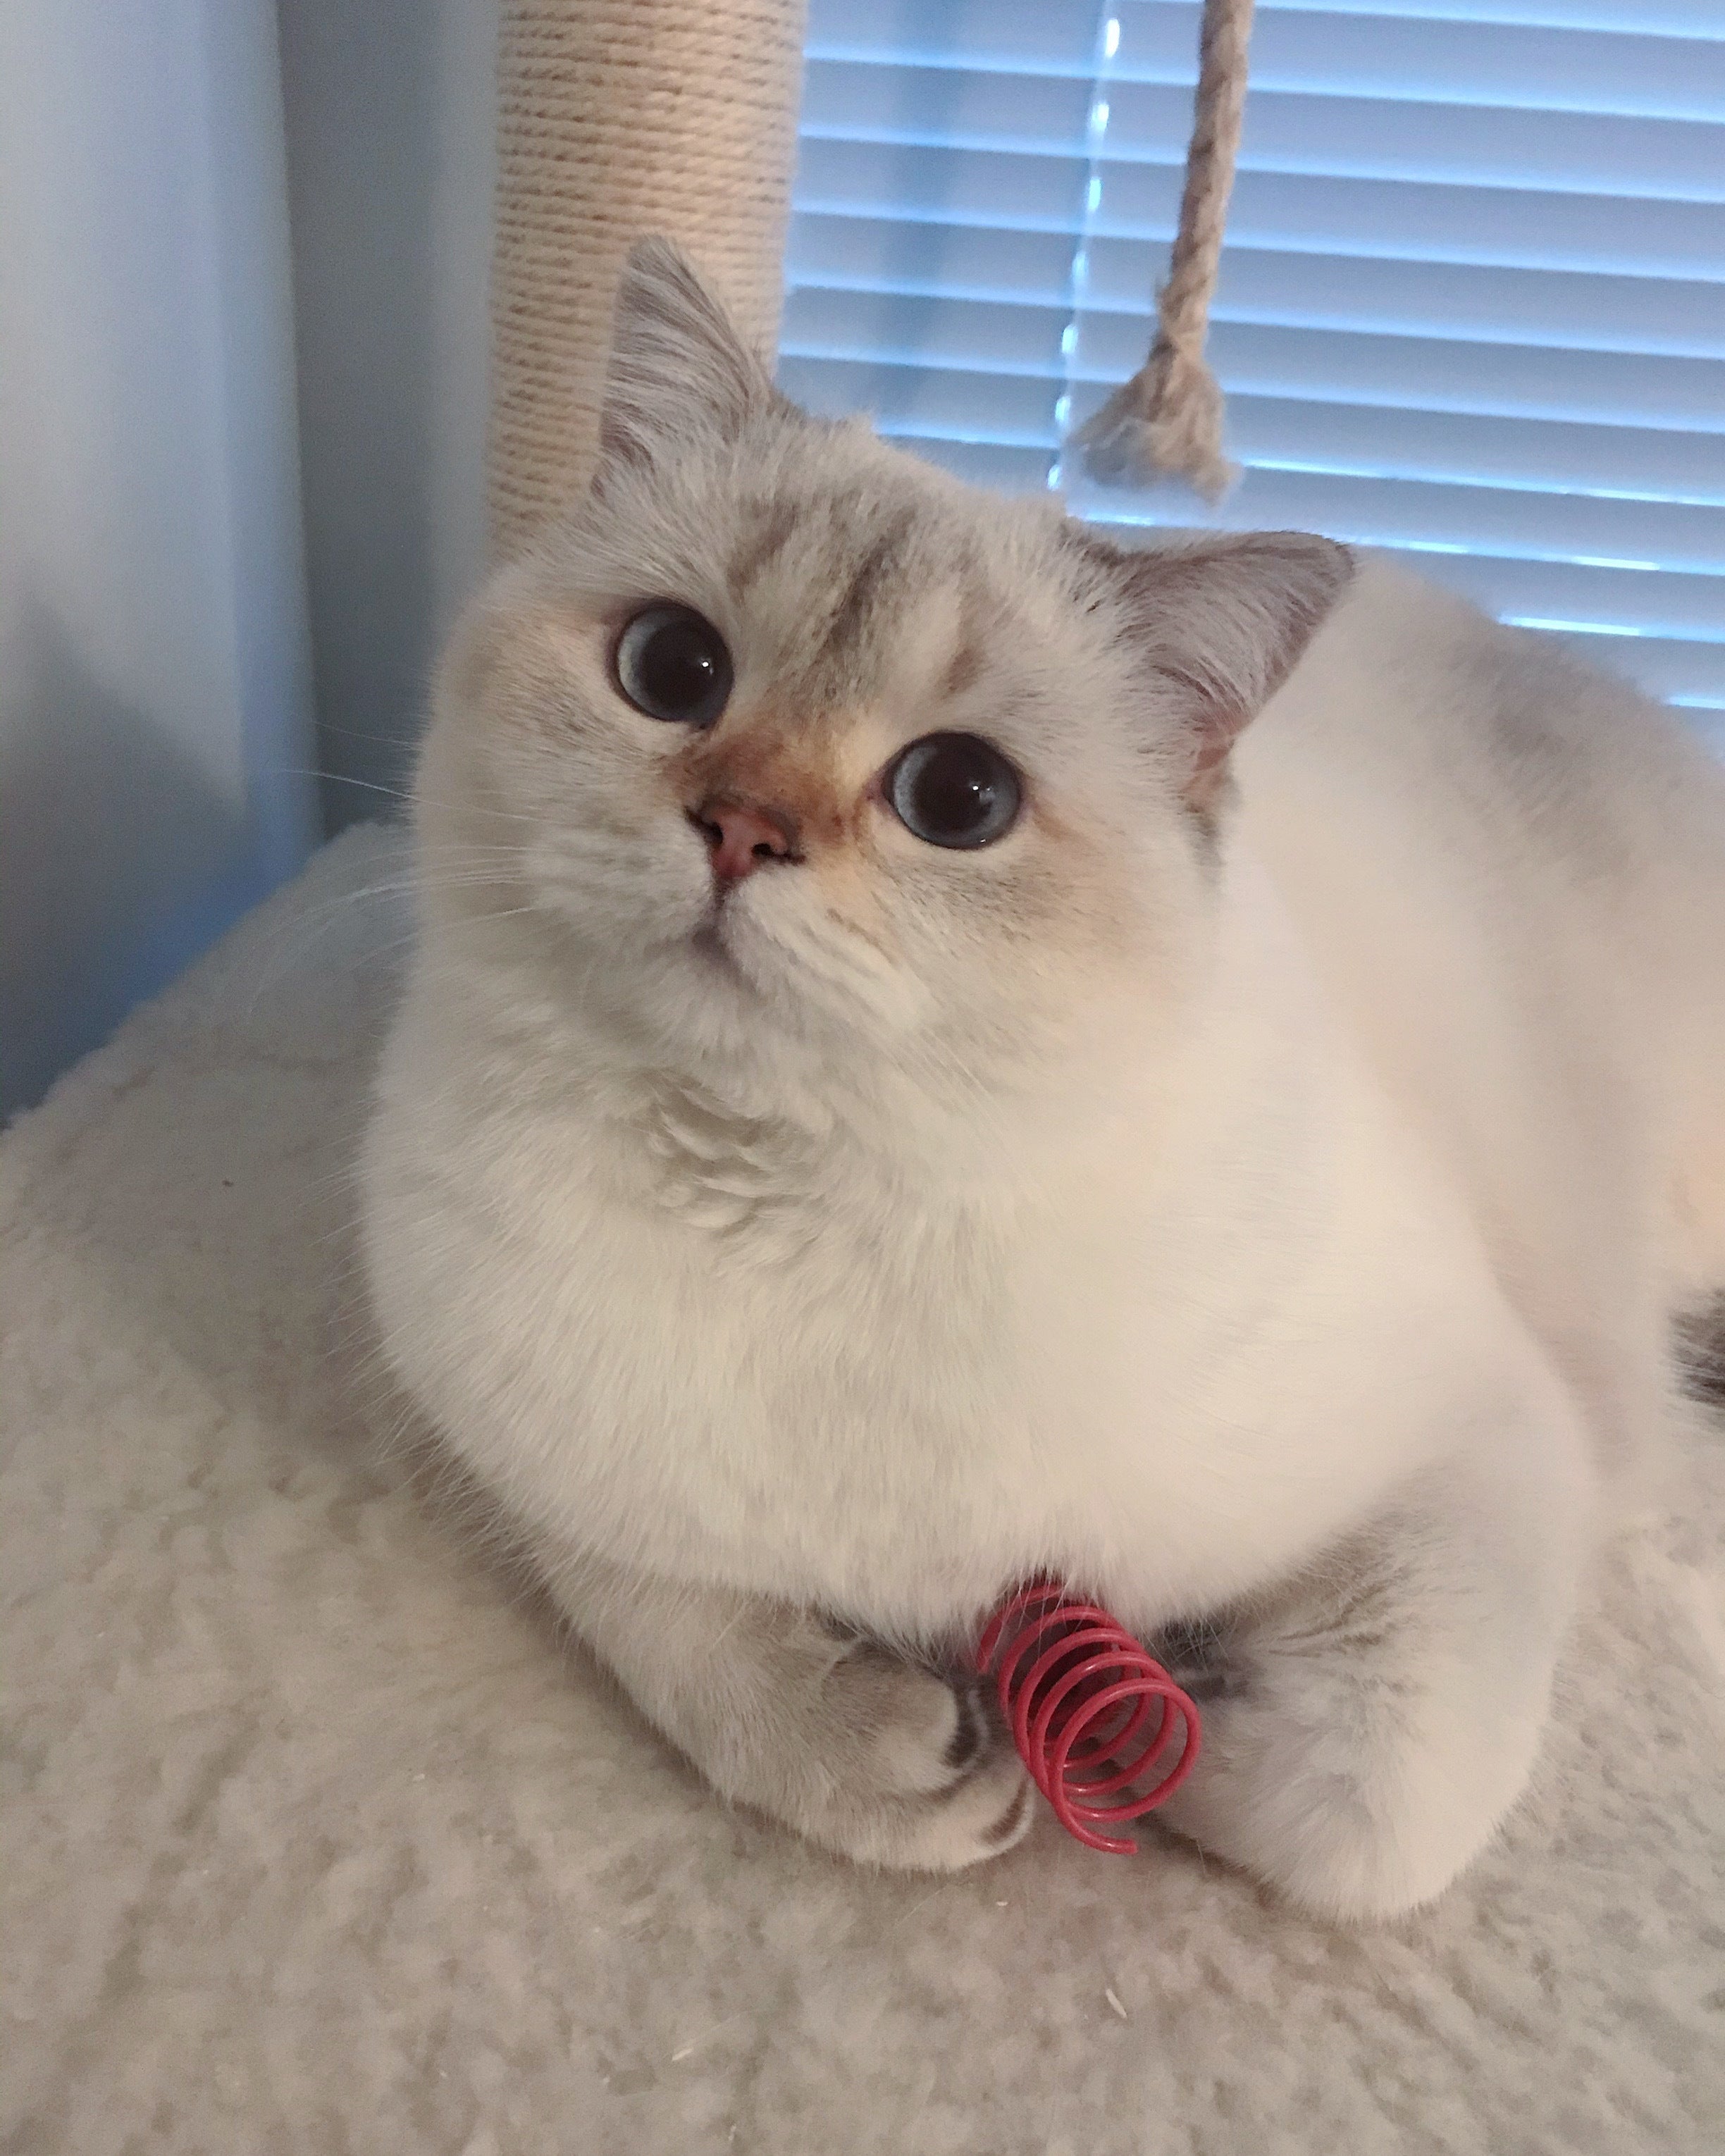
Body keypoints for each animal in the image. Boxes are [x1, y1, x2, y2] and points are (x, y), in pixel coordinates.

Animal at [353, 240, 1725, 1923]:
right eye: (671, 669)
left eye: (958, 798)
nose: (740, 828)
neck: (788, 1197)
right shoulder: (539, 1469)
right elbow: (690, 1646)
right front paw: (915, 1760)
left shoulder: (1486, 1443)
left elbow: (1354, 1815)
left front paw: (1165, 1712)